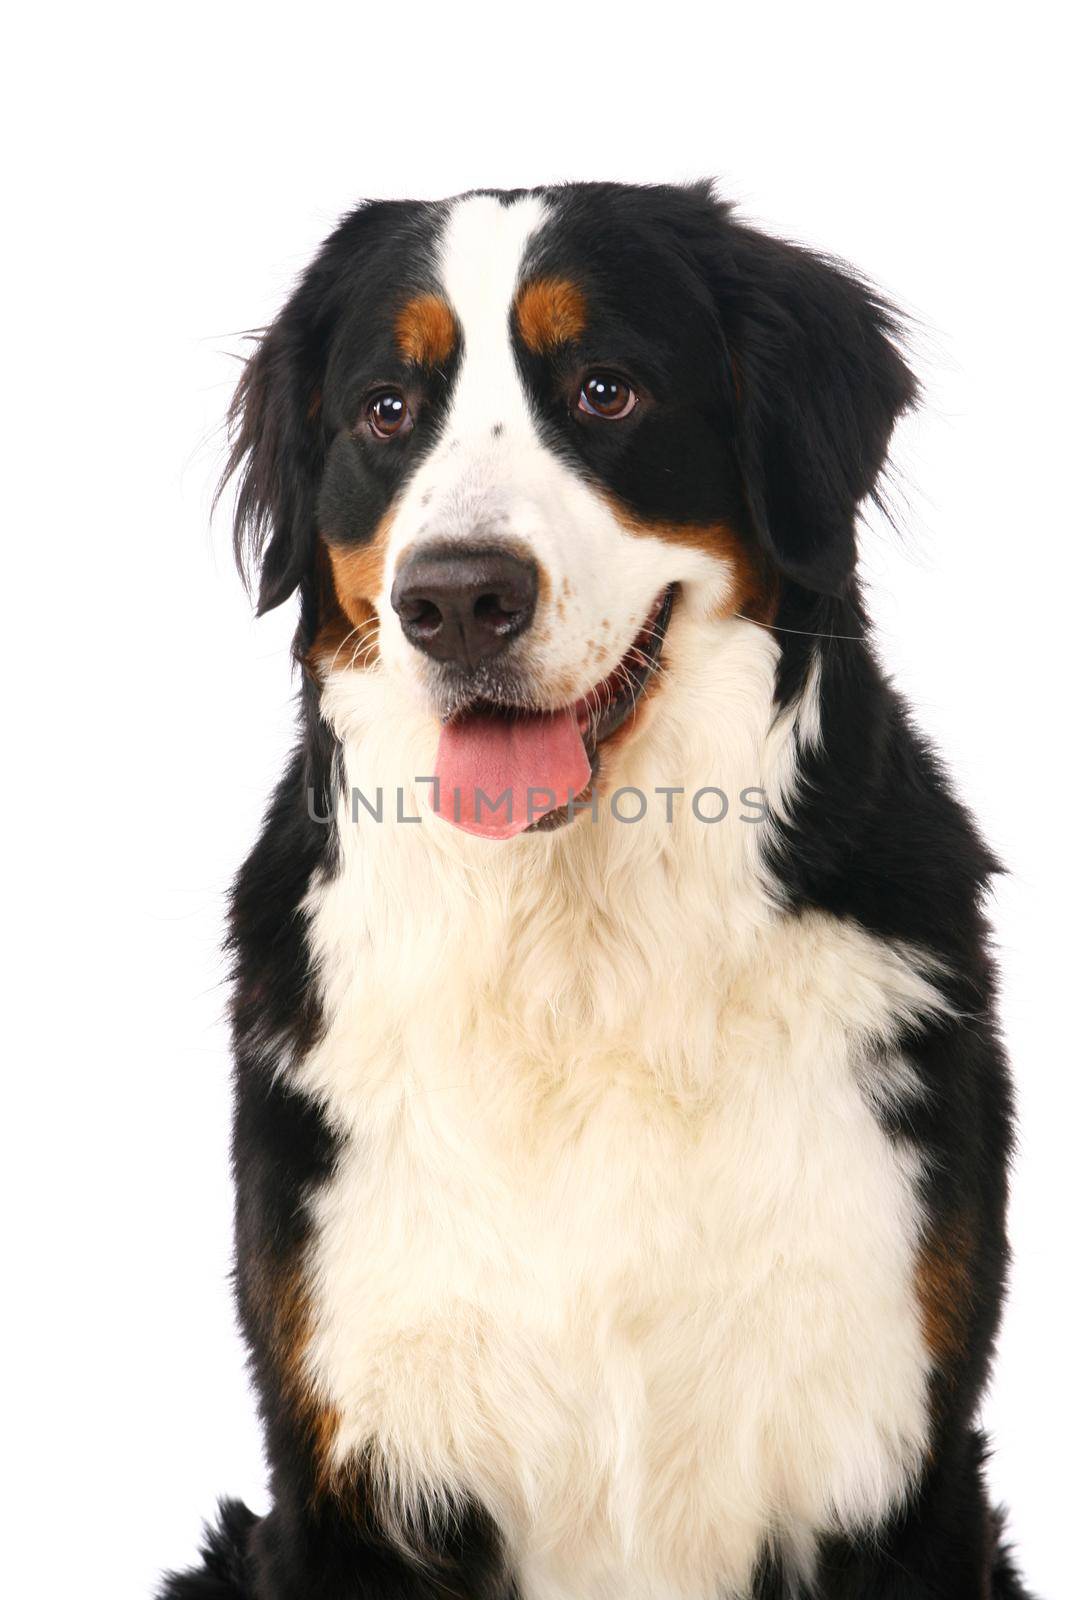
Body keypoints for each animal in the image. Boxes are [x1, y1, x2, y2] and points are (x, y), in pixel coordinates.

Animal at [163, 181, 1036, 1593]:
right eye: (386, 408)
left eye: (604, 389)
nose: (457, 597)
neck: (574, 950)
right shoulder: (349, 1459)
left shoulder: (888, 1451)